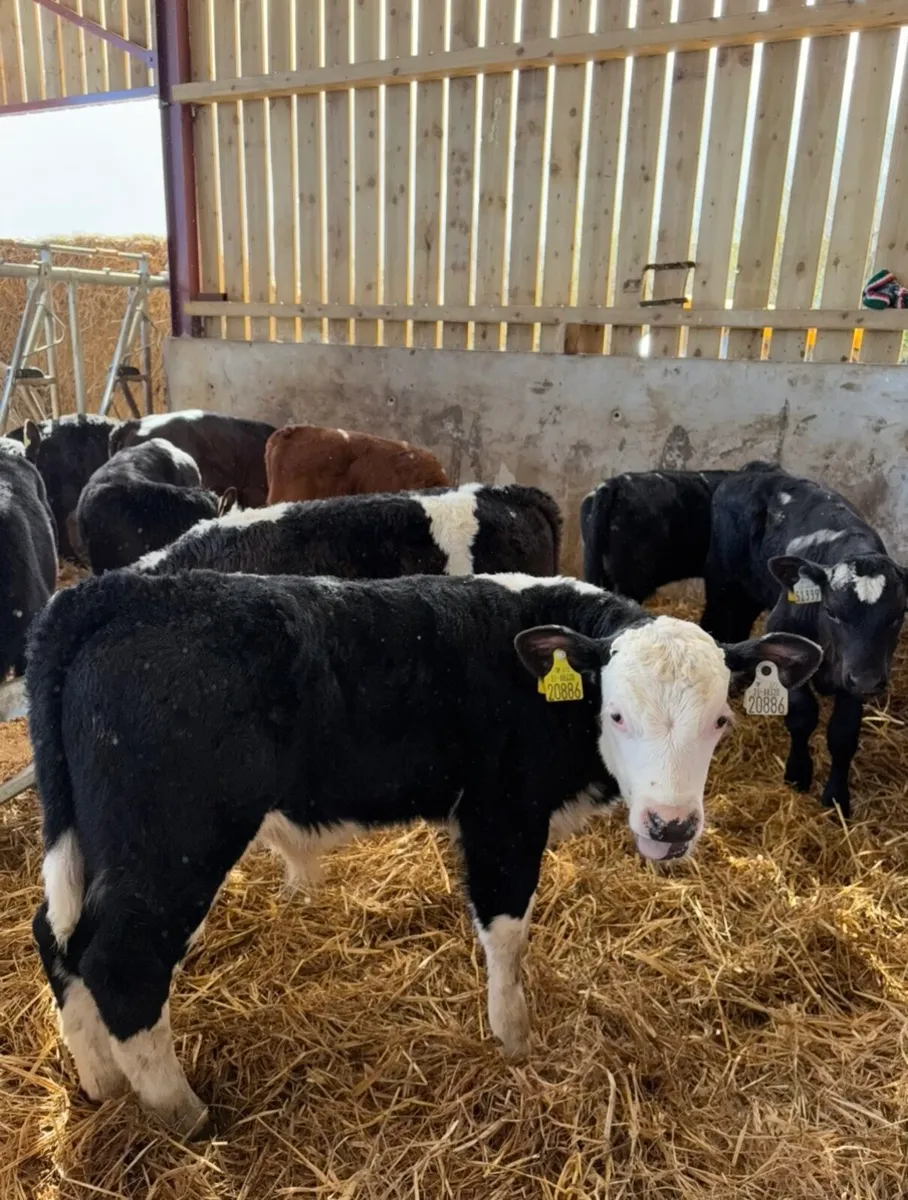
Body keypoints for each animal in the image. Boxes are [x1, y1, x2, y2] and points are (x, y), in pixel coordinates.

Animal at [28, 567, 822, 1135]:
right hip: (172, 840)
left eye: (720, 719)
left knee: (60, 938)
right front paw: (513, 1039)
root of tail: (114, 591)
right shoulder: (504, 815)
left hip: (94, 843)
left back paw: (101, 1082)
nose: (670, 826)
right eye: (617, 714)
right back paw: (183, 1113)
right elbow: (506, 931)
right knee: (121, 960)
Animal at [701, 466, 908, 818]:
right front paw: (797, 774)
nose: (868, 680)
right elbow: (801, 717)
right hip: (723, 582)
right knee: (717, 621)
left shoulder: (854, 675)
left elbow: (843, 734)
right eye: (832, 611)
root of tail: (754, 469)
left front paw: (837, 796)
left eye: (898, 615)